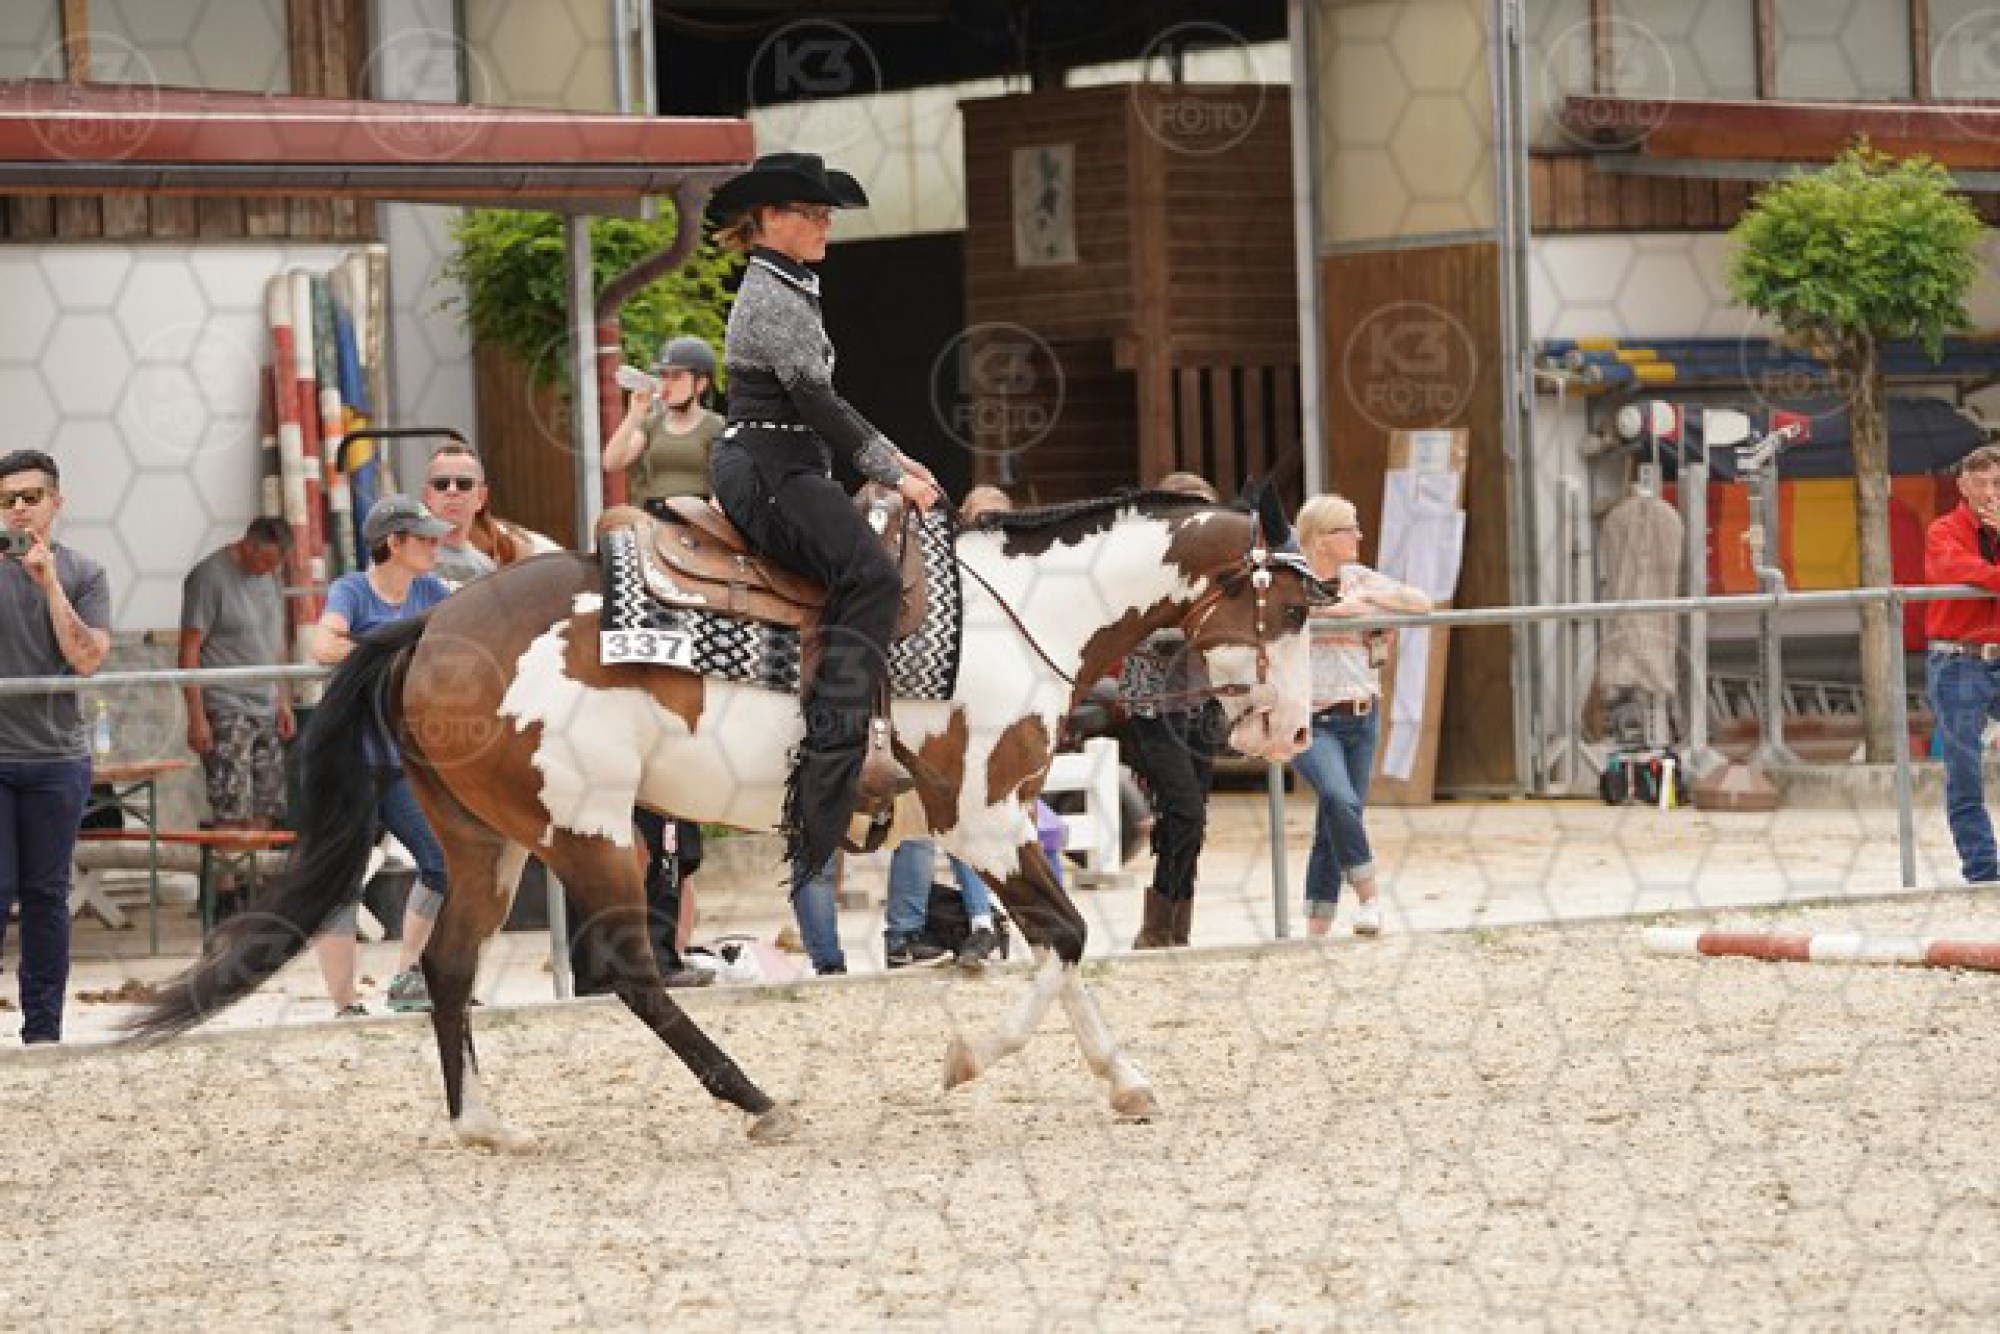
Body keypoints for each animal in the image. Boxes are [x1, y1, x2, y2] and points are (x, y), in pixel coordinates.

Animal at [129, 487, 1323, 1149]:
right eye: (1294, 609)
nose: (1293, 731)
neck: (1010, 615)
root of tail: (427, 624)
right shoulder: (976, 814)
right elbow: (1064, 937)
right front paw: (968, 1059)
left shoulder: (1003, 817)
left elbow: (1062, 944)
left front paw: (1124, 1082)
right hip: (593, 830)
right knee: (628, 969)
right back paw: (754, 1099)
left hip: (485, 839)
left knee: (452, 964)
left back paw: (483, 1122)